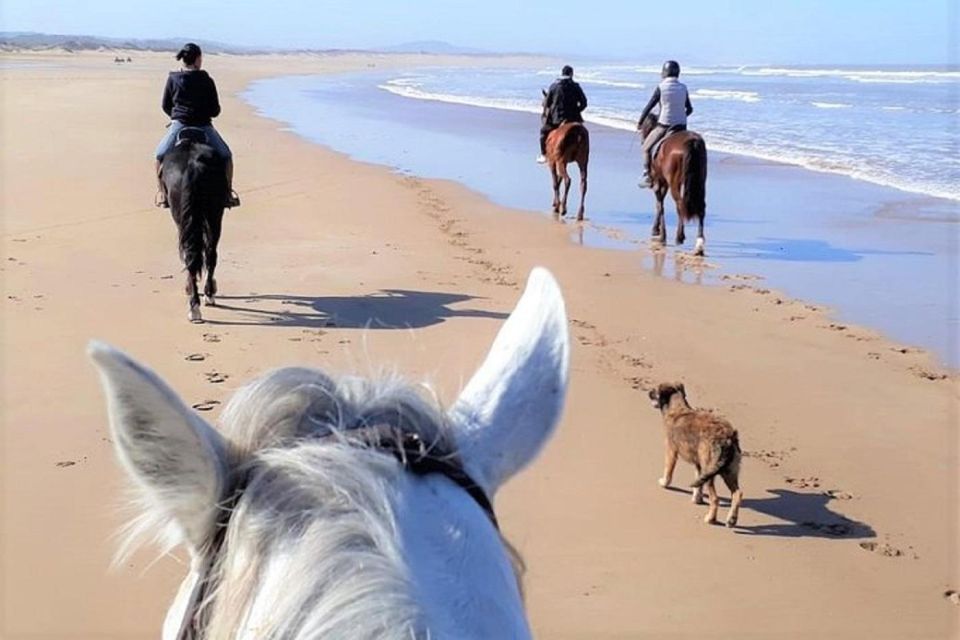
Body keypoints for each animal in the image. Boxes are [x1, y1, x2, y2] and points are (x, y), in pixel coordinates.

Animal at [544, 90, 588, 220]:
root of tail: (577, 132)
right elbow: (558, 181)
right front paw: (555, 203)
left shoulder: (552, 162)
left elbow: (555, 182)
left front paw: (557, 205)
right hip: (583, 161)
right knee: (583, 184)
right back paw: (580, 214)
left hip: (561, 161)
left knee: (568, 180)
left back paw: (563, 208)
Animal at [640, 112, 708, 255]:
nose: (643, 141)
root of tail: (692, 142)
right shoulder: (663, 183)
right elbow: (659, 204)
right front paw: (657, 229)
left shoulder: (659, 182)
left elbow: (660, 205)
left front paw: (661, 234)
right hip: (700, 181)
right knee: (701, 208)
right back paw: (699, 245)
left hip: (674, 183)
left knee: (679, 204)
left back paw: (679, 236)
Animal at [648, 380, 748, 524]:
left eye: (655, 390)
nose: (648, 393)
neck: (677, 408)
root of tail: (728, 438)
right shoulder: (699, 463)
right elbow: (698, 482)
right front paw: (697, 498)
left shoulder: (671, 451)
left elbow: (668, 470)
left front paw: (664, 483)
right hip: (729, 471)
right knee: (737, 493)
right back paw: (731, 519)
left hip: (711, 471)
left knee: (715, 498)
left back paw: (710, 518)